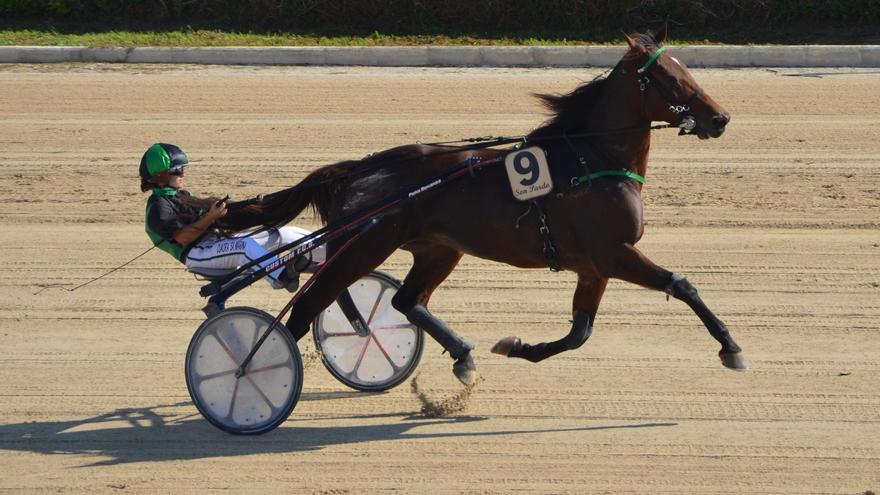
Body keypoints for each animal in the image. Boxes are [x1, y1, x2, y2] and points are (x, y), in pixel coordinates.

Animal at [218, 27, 744, 388]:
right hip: (365, 246)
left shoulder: (593, 266)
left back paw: (463, 355)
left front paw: (517, 347)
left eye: (686, 69)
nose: (720, 118)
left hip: (437, 249)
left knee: (404, 301)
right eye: (667, 78)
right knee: (305, 310)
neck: (593, 159)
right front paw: (731, 347)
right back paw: (256, 376)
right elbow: (683, 285)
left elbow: (579, 332)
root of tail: (359, 170)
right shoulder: (613, 253)